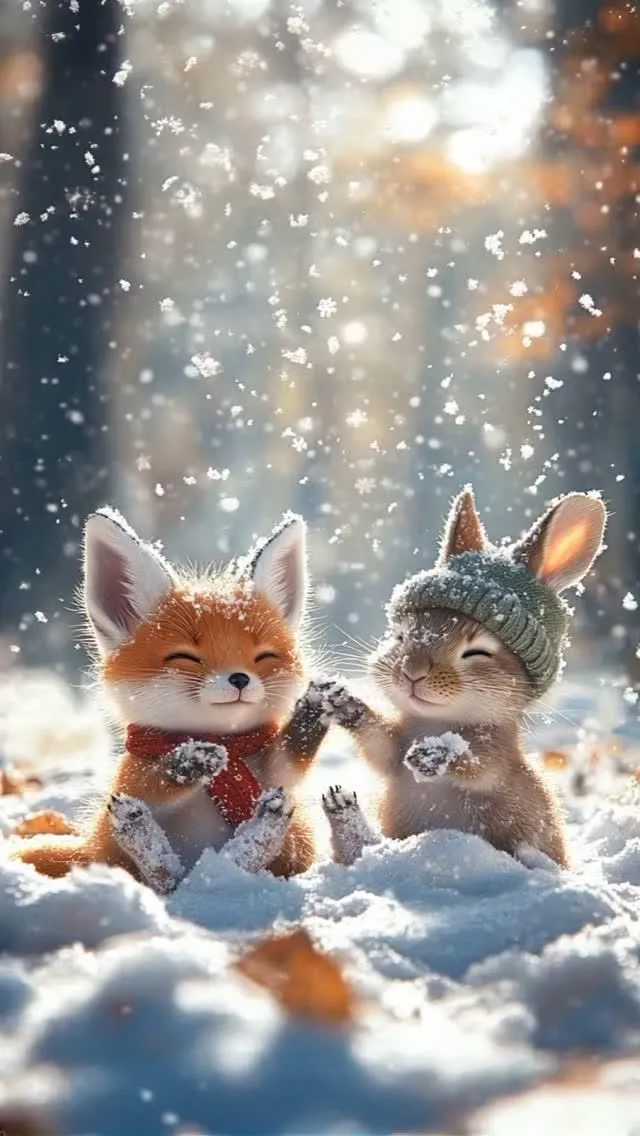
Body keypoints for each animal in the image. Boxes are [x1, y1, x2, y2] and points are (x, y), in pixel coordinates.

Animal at [8, 508, 336, 890]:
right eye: (185, 657)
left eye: (264, 656)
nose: (239, 679)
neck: (226, 743)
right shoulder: (133, 777)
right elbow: (157, 783)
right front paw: (187, 763)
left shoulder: (269, 768)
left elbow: (290, 760)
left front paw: (312, 710)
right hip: (112, 851)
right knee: (161, 876)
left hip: (300, 837)